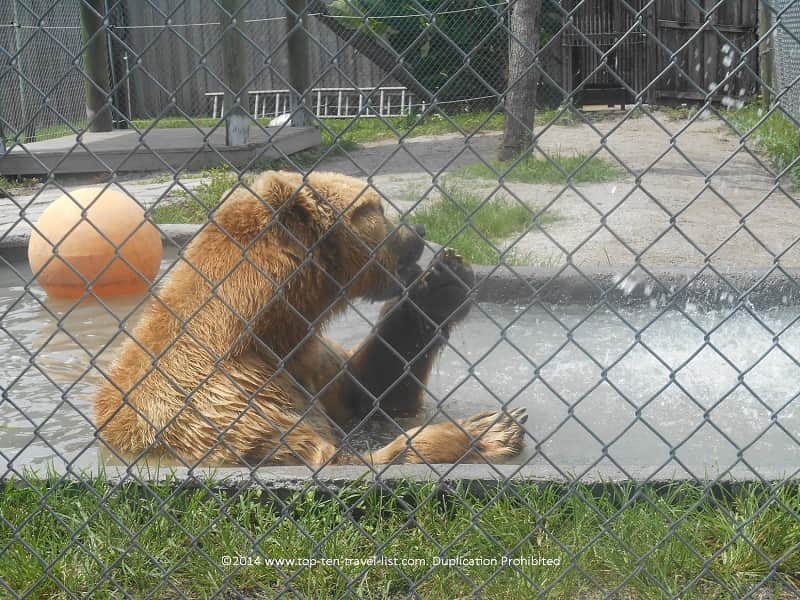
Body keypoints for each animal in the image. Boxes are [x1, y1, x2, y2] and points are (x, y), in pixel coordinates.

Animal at [93, 171, 527, 467]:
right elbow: (334, 456)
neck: (263, 325)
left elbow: (368, 388)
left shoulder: (306, 358)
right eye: (375, 208)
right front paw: (489, 428)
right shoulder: (228, 403)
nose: (417, 230)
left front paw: (441, 285)